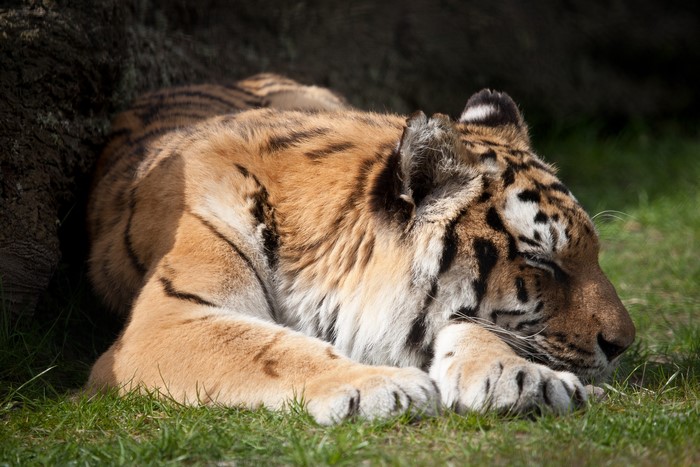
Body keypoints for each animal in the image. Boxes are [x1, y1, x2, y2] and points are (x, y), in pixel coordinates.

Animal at [86, 73, 635, 424]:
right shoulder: (167, 321)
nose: (624, 344)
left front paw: (525, 378)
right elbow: (268, 348)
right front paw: (379, 386)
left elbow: (479, 328)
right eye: (541, 260)